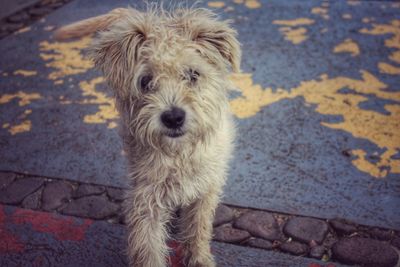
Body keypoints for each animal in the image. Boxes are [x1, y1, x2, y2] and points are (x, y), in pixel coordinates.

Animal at [55, 6, 241, 267]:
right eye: (145, 81)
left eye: (193, 74)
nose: (173, 117)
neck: (179, 154)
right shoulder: (145, 197)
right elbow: (148, 245)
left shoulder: (205, 190)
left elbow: (198, 229)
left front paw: (199, 258)